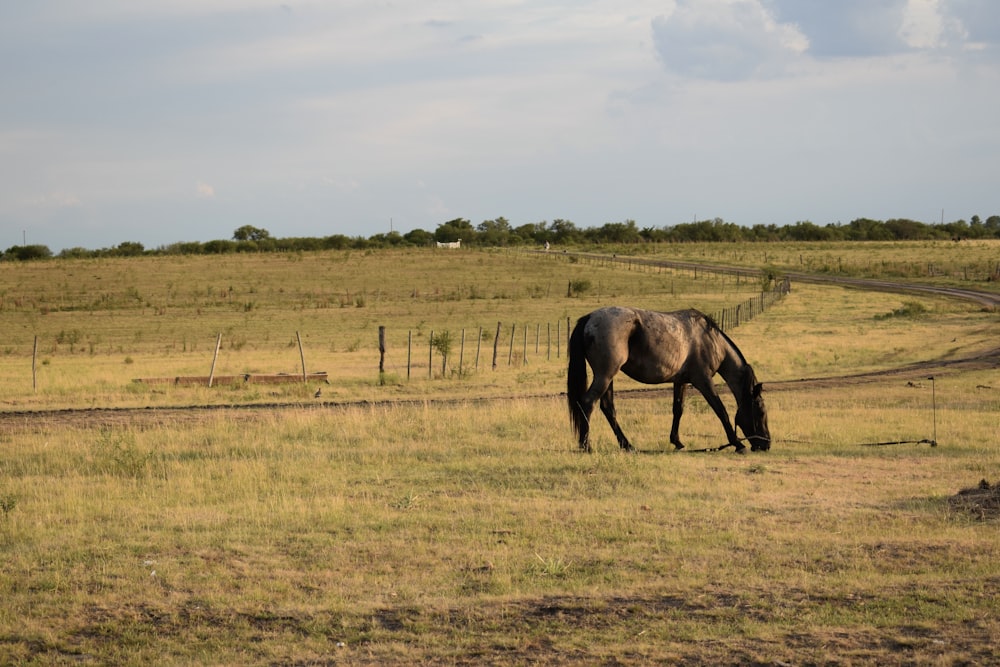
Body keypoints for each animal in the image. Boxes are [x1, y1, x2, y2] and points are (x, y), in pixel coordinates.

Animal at [568, 308, 768, 454]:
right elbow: (721, 410)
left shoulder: (680, 381)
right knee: (588, 402)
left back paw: (627, 445)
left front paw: (677, 441)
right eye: (760, 411)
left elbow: (678, 410)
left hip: (608, 377)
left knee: (608, 408)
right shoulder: (703, 381)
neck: (709, 340)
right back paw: (586, 446)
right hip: (605, 375)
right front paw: (737, 444)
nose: (766, 444)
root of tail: (590, 318)